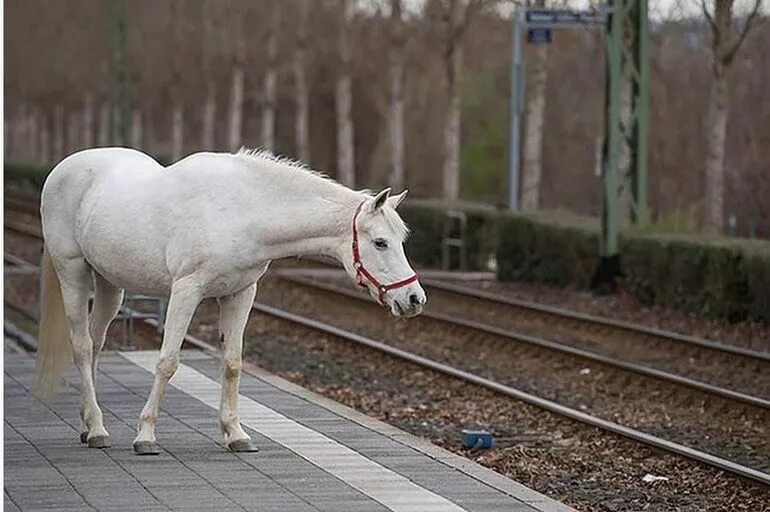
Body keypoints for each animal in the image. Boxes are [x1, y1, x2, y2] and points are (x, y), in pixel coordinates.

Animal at [33, 146, 424, 454]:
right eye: (380, 242)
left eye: (401, 239)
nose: (414, 298)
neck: (242, 210)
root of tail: (63, 168)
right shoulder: (186, 291)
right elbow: (167, 361)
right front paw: (146, 435)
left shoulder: (240, 295)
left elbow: (233, 364)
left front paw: (235, 435)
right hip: (73, 272)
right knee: (82, 346)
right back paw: (98, 429)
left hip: (111, 284)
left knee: (97, 343)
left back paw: (88, 425)